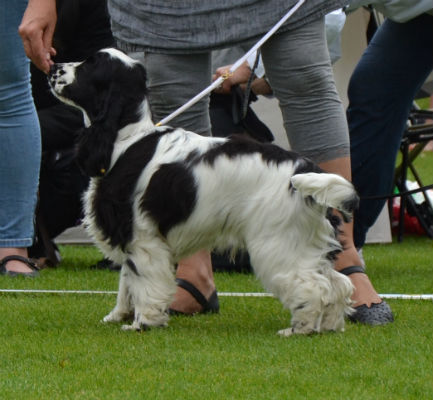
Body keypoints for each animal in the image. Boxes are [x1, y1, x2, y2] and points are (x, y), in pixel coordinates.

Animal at [48, 48, 358, 336]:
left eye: (90, 64)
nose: (52, 66)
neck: (125, 138)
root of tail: (305, 167)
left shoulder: (144, 237)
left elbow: (144, 282)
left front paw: (142, 323)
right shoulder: (130, 233)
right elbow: (127, 280)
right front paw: (117, 316)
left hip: (278, 241)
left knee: (313, 286)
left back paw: (299, 329)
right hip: (307, 241)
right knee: (338, 283)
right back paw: (330, 325)